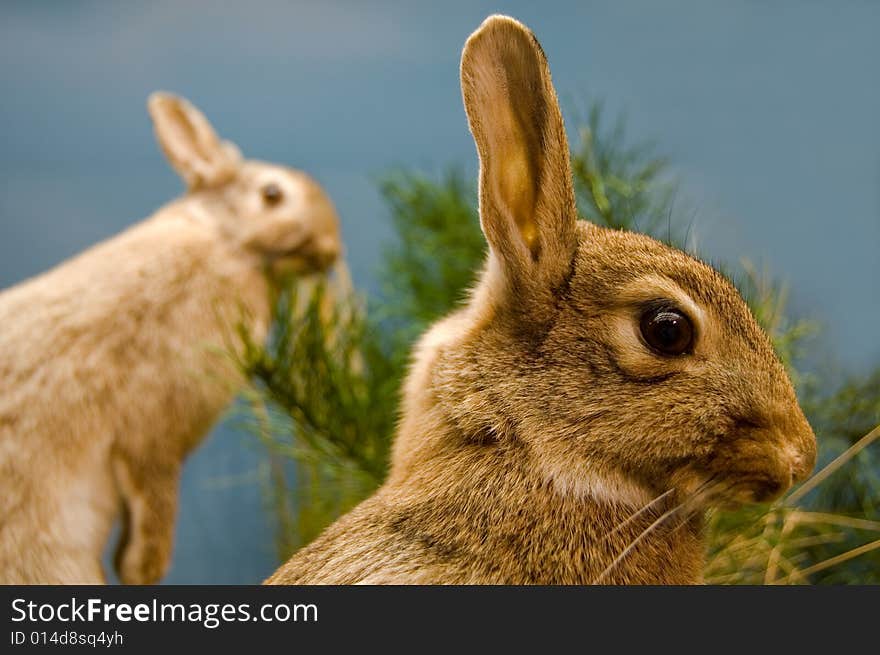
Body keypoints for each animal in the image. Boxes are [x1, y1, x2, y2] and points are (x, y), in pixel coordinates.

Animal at [0, 91, 342, 584]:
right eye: (273, 194)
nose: (331, 250)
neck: (228, 243)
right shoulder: (159, 426)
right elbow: (153, 498)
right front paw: (143, 570)